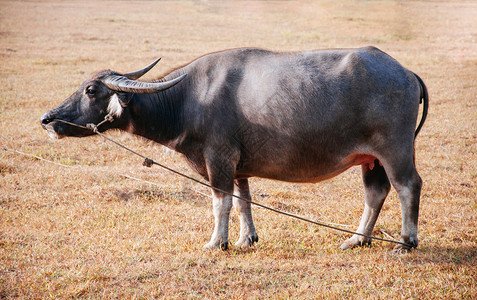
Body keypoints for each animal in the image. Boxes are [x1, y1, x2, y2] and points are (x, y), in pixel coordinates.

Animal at [41, 46, 428, 253]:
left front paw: (217, 243)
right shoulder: (239, 166)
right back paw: (356, 240)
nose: (48, 118)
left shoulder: (219, 160)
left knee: (408, 186)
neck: (188, 100)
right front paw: (246, 239)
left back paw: (406, 242)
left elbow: (220, 203)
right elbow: (243, 201)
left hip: (394, 151)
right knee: (375, 192)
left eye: (91, 90)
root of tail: (407, 72)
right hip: (371, 159)